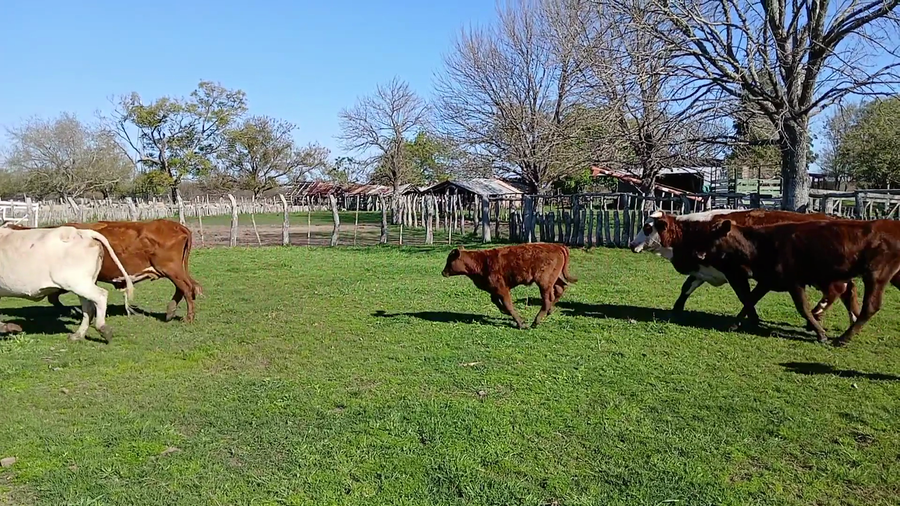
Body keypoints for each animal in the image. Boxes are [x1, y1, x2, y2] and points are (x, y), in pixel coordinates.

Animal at [0, 225, 135, 341]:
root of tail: (82, 232)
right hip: (83, 285)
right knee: (88, 308)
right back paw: (78, 335)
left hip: (77, 283)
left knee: (101, 295)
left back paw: (102, 328)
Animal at [7, 220, 202, 322]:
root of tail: (178, 226)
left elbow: (55, 297)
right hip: (177, 269)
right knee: (187, 287)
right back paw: (170, 311)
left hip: (171, 269)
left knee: (187, 288)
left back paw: (188, 318)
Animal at [441, 243, 577, 329]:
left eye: (449, 260)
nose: (443, 272)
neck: (481, 261)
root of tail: (557, 246)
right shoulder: (494, 289)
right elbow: (496, 301)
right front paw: (506, 312)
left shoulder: (502, 289)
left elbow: (508, 305)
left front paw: (521, 323)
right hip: (555, 278)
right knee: (560, 288)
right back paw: (549, 311)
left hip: (544, 282)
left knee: (547, 299)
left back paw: (536, 321)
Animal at [628, 209, 858, 328]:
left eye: (647, 227)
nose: (631, 244)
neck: (697, 230)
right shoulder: (703, 269)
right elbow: (686, 288)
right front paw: (676, 311)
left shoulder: (736, 273)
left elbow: (746, 297)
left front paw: (753, 320)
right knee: (849, 291)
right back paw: (853, 319)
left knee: (837, 291)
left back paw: (816, 315)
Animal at [674, 217, 900, 346]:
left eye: (711, 235)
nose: (696, 253)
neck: (760, 245)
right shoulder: (767, 280)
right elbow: (749, 300)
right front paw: (735, 323)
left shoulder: (795, 282)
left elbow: (803, 308)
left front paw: (820, 333)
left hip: (876, 275)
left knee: (869, 306)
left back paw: (842, 338)